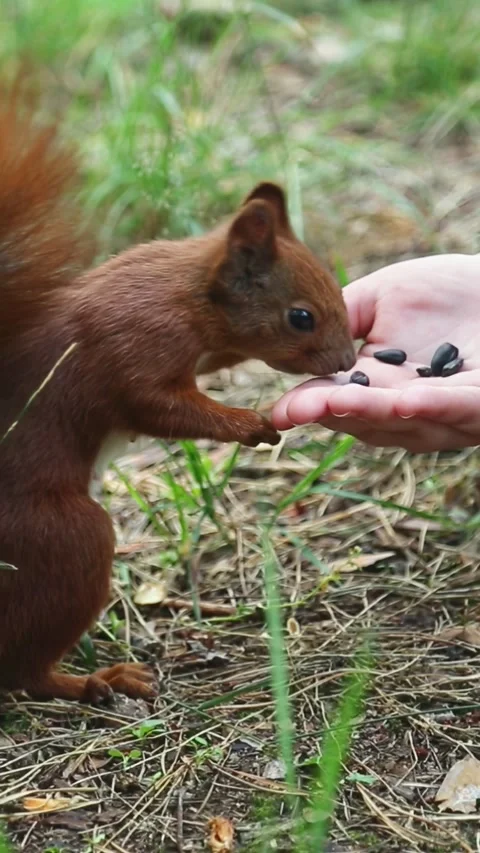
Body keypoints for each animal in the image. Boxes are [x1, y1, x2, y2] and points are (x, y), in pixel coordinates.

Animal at [0, 84, 355, 704]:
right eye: (301, 317)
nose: (349, 362)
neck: (188, 295)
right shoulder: (133, 345)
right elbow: (156, 405)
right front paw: (250, 424)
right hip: (60, 539)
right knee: (22, 670)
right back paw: (97, 679)